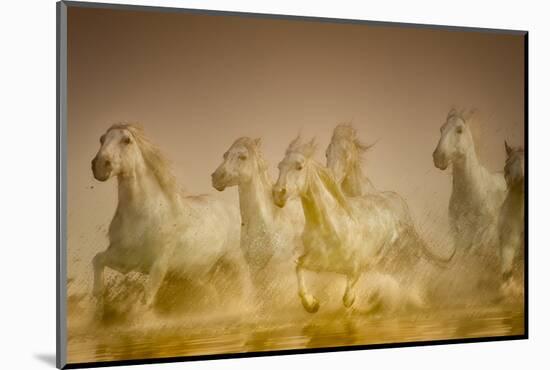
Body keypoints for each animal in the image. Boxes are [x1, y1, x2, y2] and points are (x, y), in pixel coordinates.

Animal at [91, 123, 246, 310]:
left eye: (126, 140)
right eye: (101, 139)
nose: (99, 165)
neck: (141, 216)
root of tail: (234, 210)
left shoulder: (159, 266)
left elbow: (146, 299)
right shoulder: (125, 259)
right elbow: (97, 260)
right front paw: (100, 303)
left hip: (234, 261)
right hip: (199, 274)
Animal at [272, 137, 422, 312]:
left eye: (299, 167)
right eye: (279, 166)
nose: (277, 194)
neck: (330, 228)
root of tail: (396, 200)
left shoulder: (358, 265)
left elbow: (348, 296)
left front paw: (356, 302)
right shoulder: (316, 262)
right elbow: (298, 267)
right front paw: (311, 304)